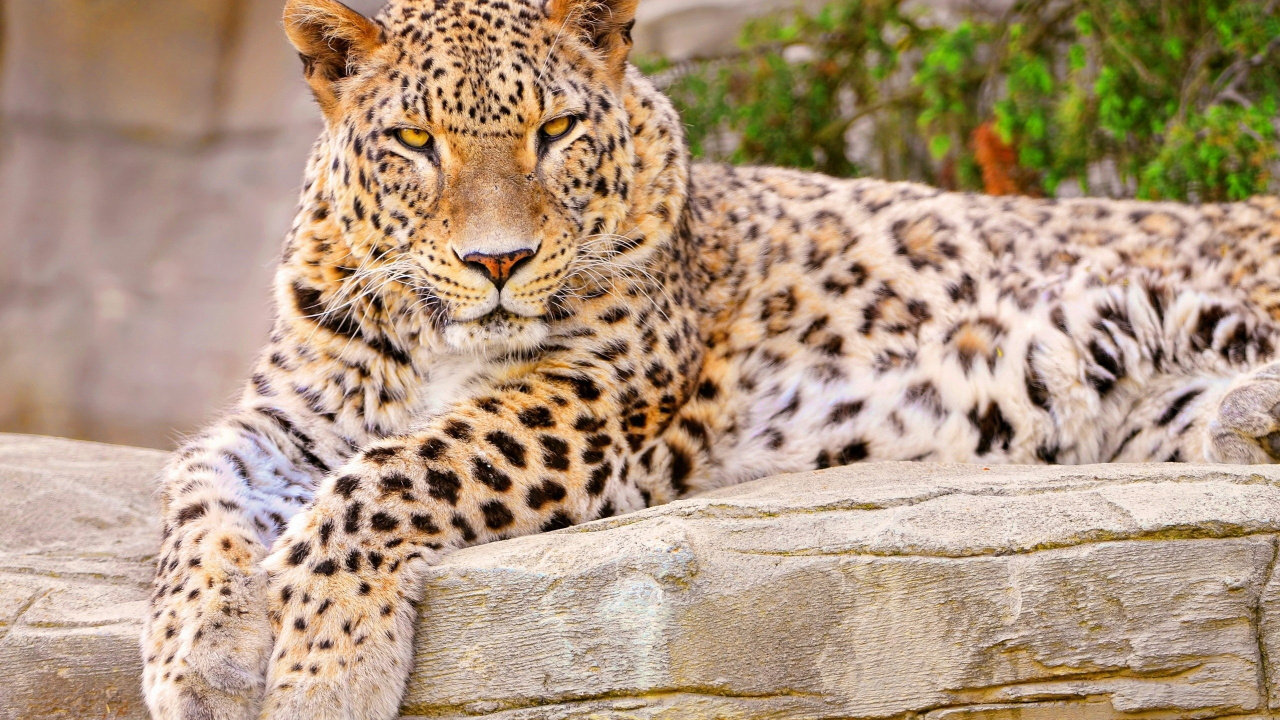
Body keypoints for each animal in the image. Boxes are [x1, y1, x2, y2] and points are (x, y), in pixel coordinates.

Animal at [140, 0, 1280, 717]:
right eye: (416, 142)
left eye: (556, 130)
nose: (497, 262)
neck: (432, 339)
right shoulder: (288, 415)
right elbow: (194, 492)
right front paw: (202, 655)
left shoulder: (593, 397)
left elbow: (391, 475)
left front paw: (320, 666)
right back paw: (1243, 426)